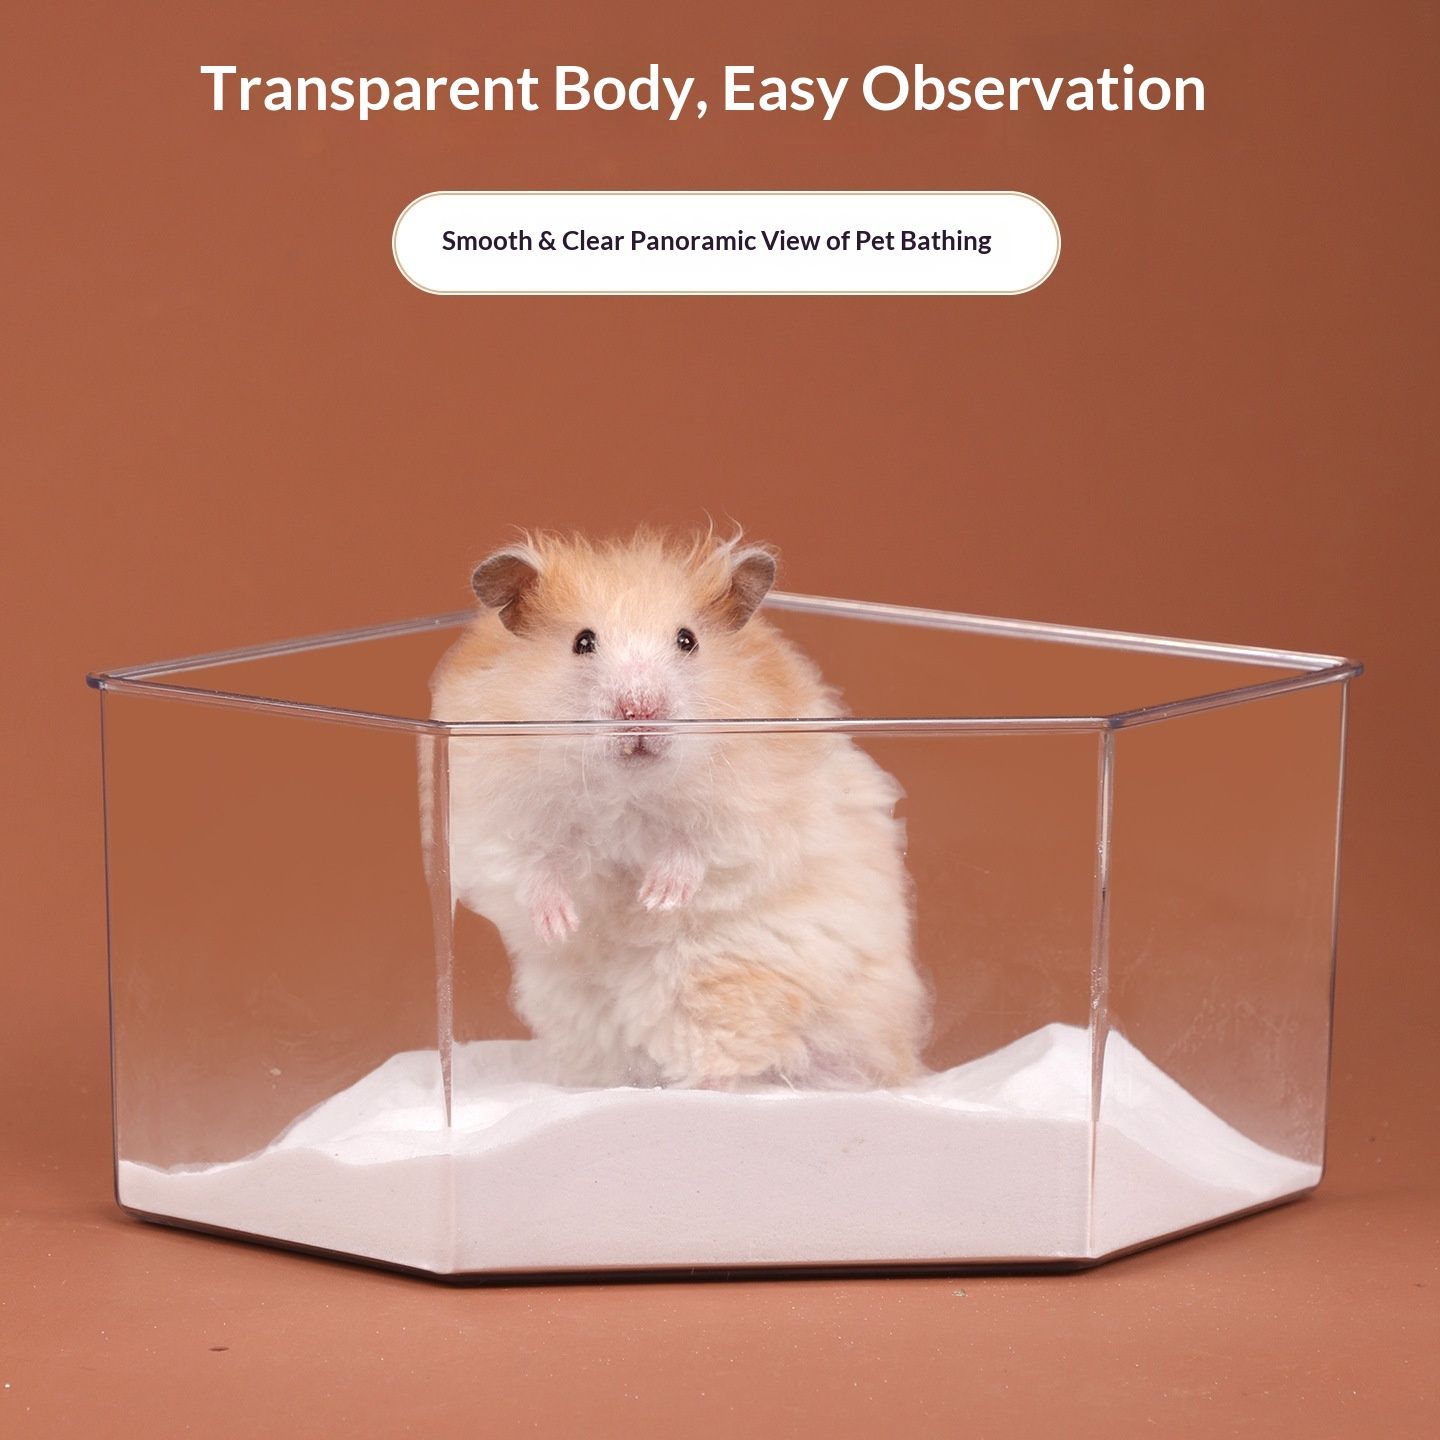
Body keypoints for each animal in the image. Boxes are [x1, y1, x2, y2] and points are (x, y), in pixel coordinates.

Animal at [427, 528, 928, 1089]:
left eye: (687, 639)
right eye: (583, 642)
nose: (640, 711)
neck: (626, 793)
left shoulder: (758, 811)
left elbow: (698, 845)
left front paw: (656, 900)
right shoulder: (488, 819)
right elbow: (533, 865)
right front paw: (561, 925)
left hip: (727, 987)